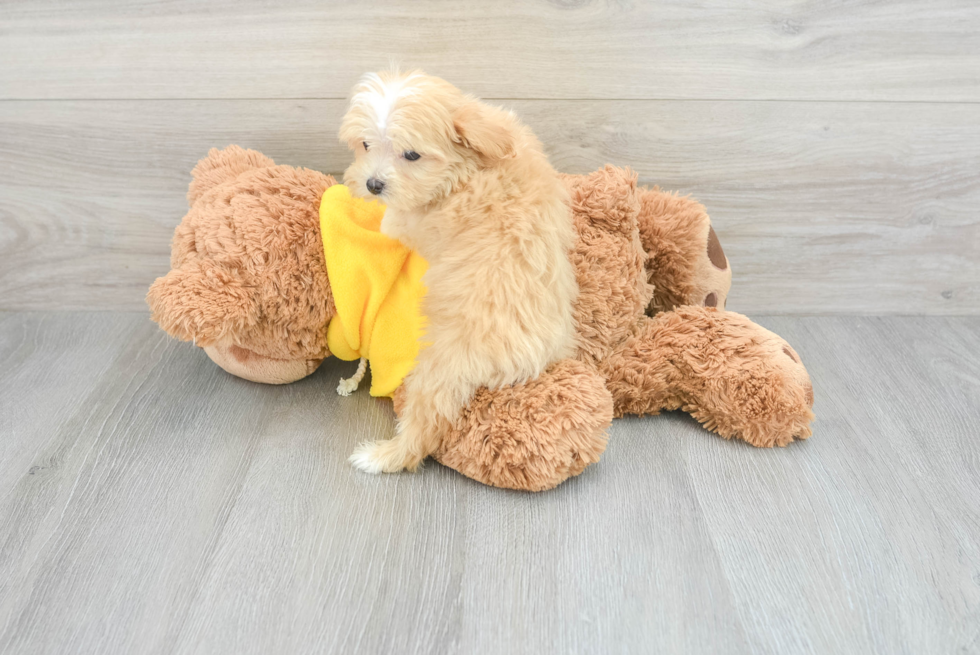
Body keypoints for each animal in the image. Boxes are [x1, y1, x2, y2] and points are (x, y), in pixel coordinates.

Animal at [340, 69, 580, 474]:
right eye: (366, 144)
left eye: (411, 154)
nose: (373, 185)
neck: (466, 169)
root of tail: (531, 360)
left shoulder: (421, 222)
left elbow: (394, 222)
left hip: (444, 362)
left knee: (425, 423)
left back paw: (382, 455)